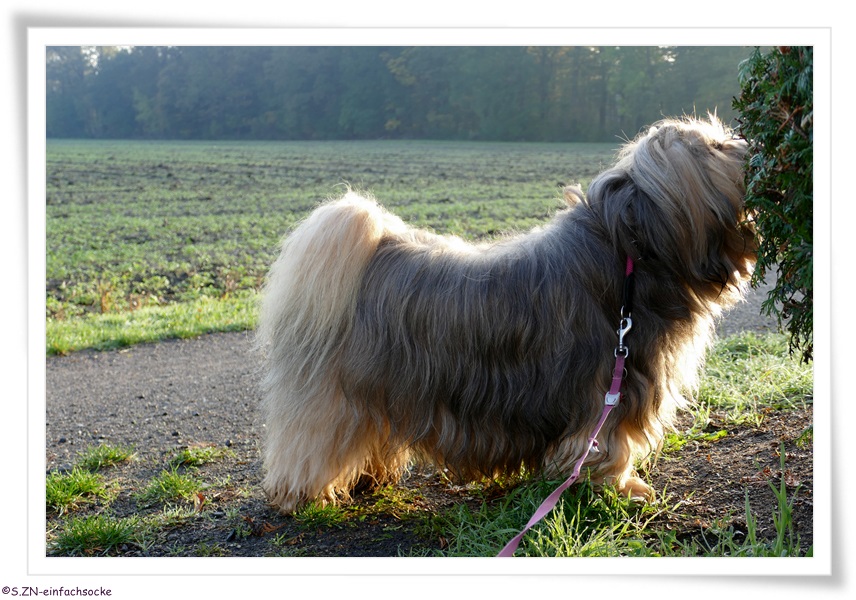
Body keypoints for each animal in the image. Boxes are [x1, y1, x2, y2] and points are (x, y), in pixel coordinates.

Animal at [257, 115, 756, 513]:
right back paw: (302, 494)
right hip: (334, 394)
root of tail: (373, 249)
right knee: (310, 441)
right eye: (713, 147)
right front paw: (618, 490)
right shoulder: (606, 392)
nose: (748, 143)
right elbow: (606, 448)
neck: (629, 251)